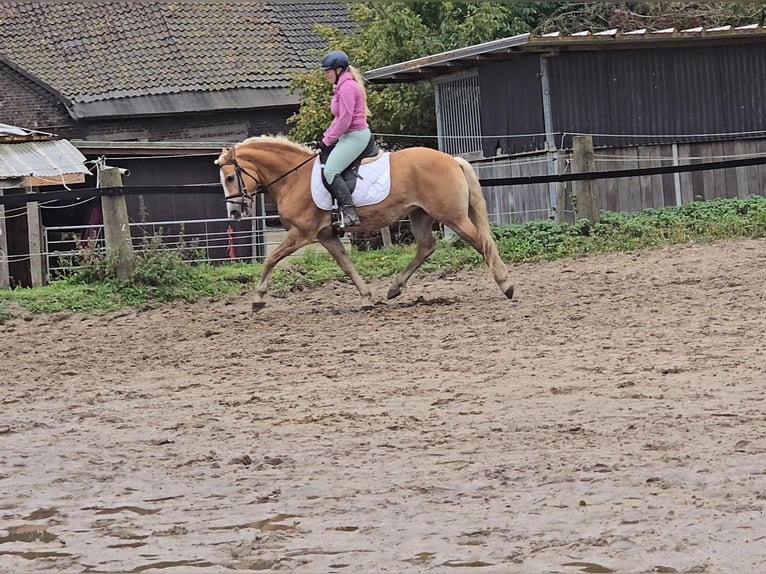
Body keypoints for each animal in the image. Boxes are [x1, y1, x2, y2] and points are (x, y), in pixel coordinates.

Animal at [214, 137, 516, 312]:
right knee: (426, 247)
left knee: (481, 242)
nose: (234, 212)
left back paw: (506, 285)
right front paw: (366, 297)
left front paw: (257, 299)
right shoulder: (326, 235)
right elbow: (346, 264)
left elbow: (271, 259)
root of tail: (451, 159)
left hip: (453, 217)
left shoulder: (301, 233)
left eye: (229, 177)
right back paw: (395, 288)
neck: (294, 177)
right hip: (420, 214)